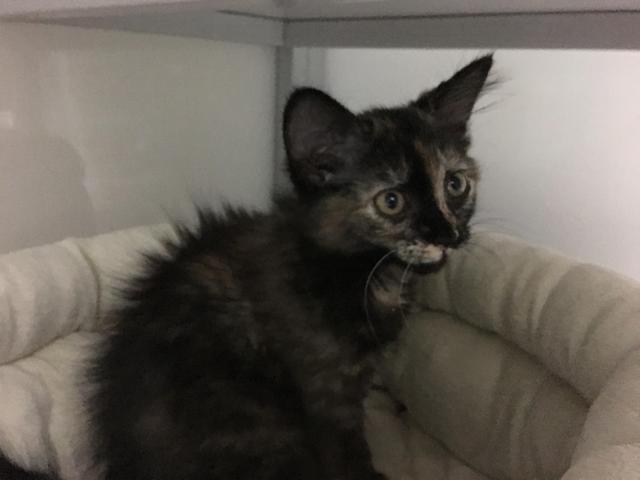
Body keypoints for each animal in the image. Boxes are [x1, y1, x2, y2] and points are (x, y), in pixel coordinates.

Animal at [0, 54, 492, 480]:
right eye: (391, 201)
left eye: (455, 184)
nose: (448, 234)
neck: (349, 269)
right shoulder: (328, 392)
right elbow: (349, 455)